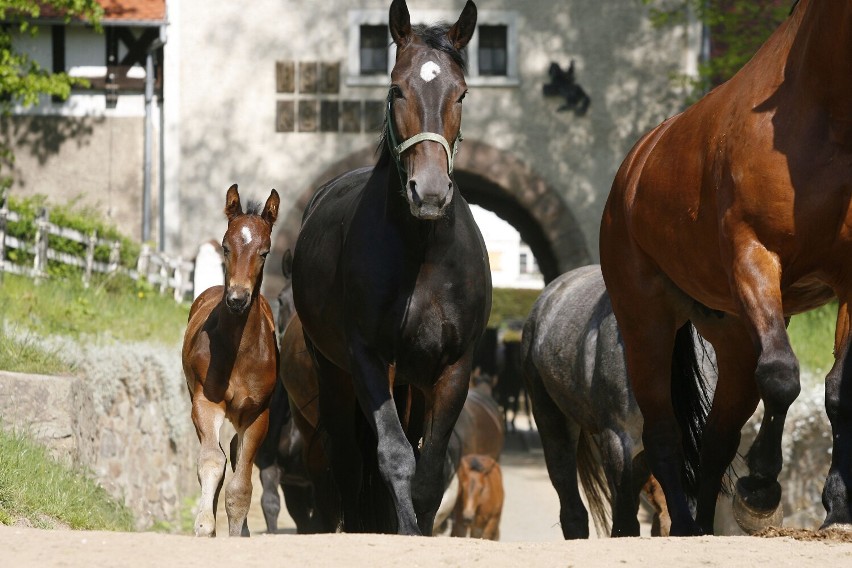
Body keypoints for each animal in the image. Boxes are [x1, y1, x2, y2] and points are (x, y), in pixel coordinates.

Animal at [292, 0, 492, 536]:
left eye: (461, 92)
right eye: (397, 88)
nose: (429, 192)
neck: (422, 253)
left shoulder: (452, 368)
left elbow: (430, 467)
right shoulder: (367, 359)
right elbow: (394, 455)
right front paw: (402, 528)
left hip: (413, 383)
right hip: (334, 373)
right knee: (345, 457)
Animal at [596, 0, 852, 536]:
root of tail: (634, 166)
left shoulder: (850, 278)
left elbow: (840, 389)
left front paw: (838, 508)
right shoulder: (753, 255)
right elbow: (781, 374)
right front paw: (760, 487)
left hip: (734, 340)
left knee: (716, 438)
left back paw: (702, 520)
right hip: (646, 325)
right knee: (663, 434)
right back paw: (686, 524)